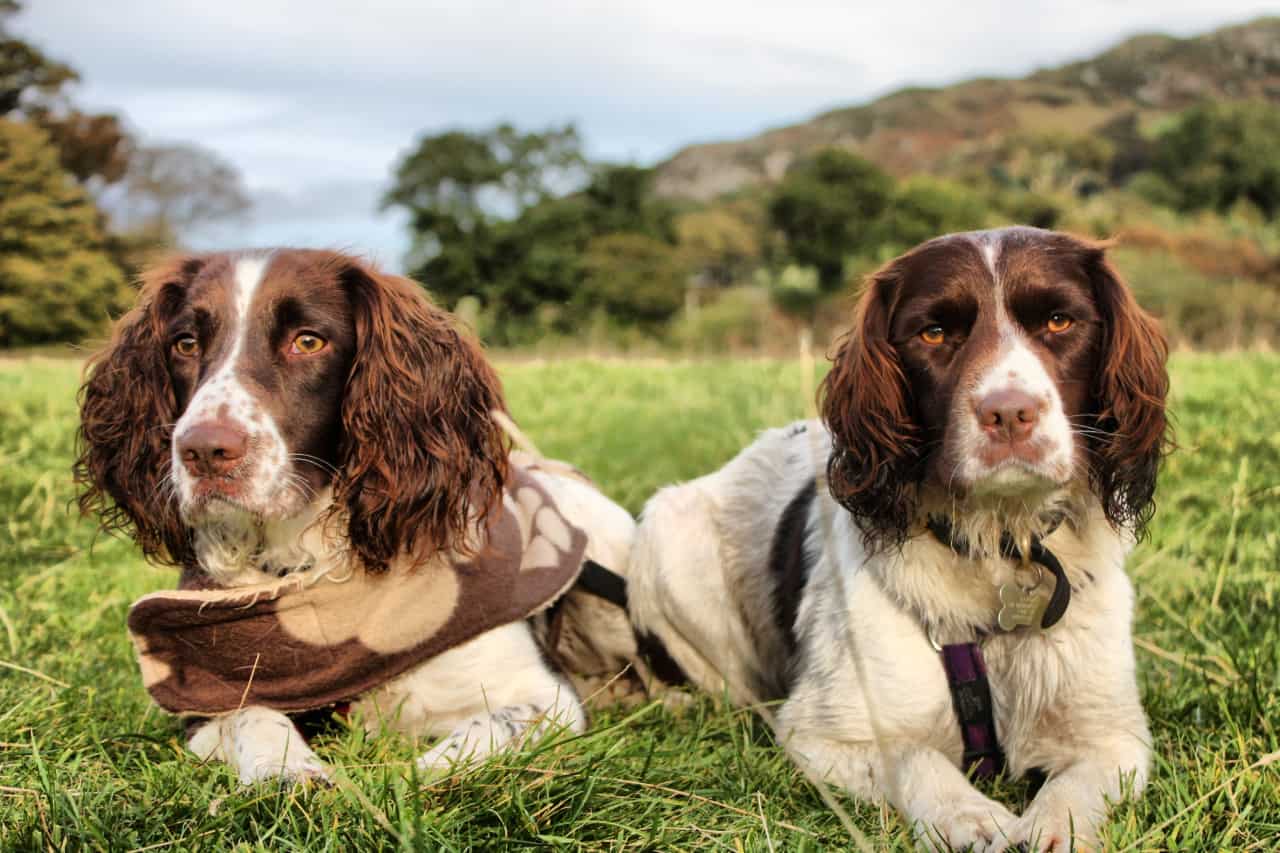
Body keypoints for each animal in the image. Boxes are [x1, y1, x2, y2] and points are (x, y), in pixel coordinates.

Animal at [73, 247, 634, 783]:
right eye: (185, 344)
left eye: (308, 342)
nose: (203, 451)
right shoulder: (206, 704)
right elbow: (252, 714)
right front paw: (287, 771)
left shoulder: (545, 696)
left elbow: (487, 726)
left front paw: (417, 776)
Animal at [627, 227, 1172, 850]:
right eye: (933, 332)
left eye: (1059, 321)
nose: (1009, 413)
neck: (994, 544)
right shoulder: (825, 733)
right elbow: (915, 757)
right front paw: (974, 817)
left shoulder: (1112, 736)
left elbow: (1072, 797)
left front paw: (1047, 828)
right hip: (669, 536)